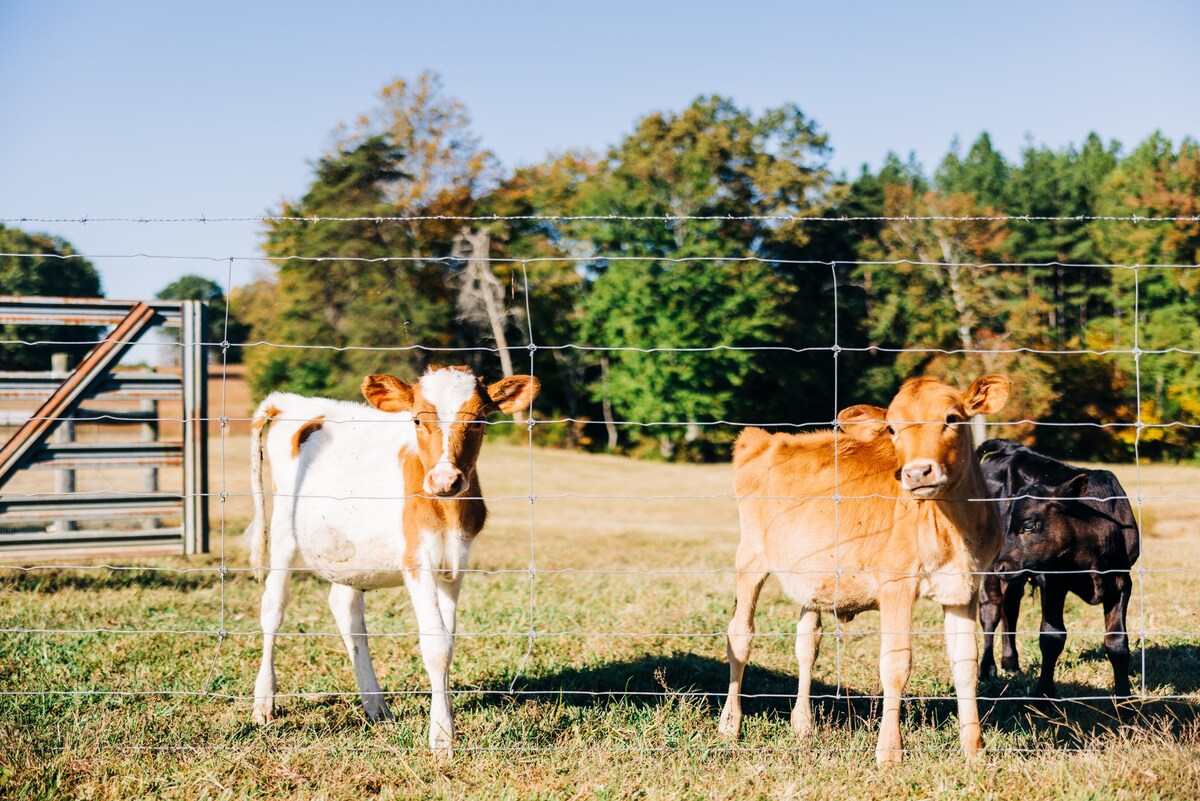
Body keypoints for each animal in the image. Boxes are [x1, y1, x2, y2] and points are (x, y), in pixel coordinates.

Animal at [246, 366, 537, 753]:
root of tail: (293, 402)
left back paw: (376, 706)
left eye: (478, 420)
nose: (445, 479)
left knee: (346, 611)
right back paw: (264, 702)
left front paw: (443, 724)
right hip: (282, 532)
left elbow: (448, 642)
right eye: (416, 419)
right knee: (273, 609)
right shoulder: (417, 560)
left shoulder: (454, 563)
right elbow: (436, 644)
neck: (446, 510)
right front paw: (442, 737)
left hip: (348, 555)